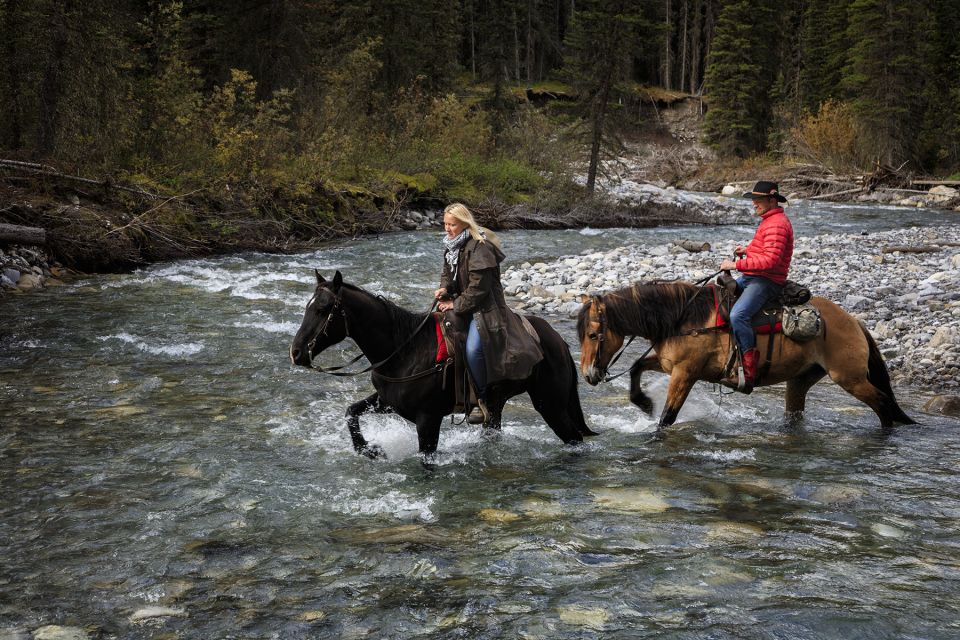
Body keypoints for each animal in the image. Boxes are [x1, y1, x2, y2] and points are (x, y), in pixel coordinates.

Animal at [288, 272, 596, 458]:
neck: (405, 350)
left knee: (574, 438)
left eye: (323, 310)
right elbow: (351, 412)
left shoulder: (428, 419)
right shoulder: (387, 401)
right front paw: (370, 450)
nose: (296, 352)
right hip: (497, 404)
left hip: (550, 404)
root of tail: (557, 340)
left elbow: (426, 458)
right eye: (307, 306)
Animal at [576, 280, 916, 430]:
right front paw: (644, 403)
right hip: (801, 380)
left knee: (882, 403)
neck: (684, 317)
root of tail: (854, 321)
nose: (589, 375)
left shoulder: (685, 373)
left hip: (849, 377)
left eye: (593, 335)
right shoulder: (666, 363)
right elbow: (635, 367)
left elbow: (668, 417)